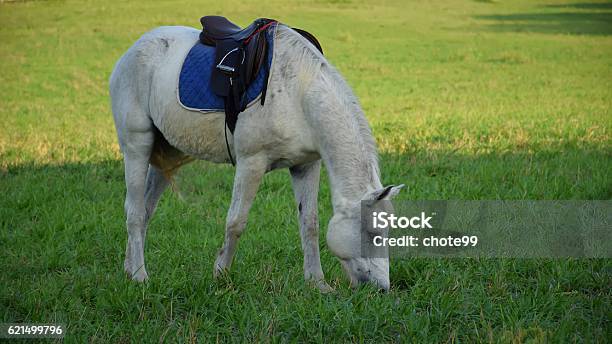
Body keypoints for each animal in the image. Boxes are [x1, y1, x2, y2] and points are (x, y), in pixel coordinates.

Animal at [111, 23, 402, 290]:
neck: (298, 93)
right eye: (372, 234)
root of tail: (132, 49)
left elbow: (310, 224)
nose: (382, 288)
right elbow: (236, 222)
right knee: (134, 212)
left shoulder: (306, 165)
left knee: (145, 210)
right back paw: (139, 276)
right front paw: (221, 275)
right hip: (137, 147)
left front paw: (317, 284)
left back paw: (129, 268)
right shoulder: (251, 163)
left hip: (166, 157)